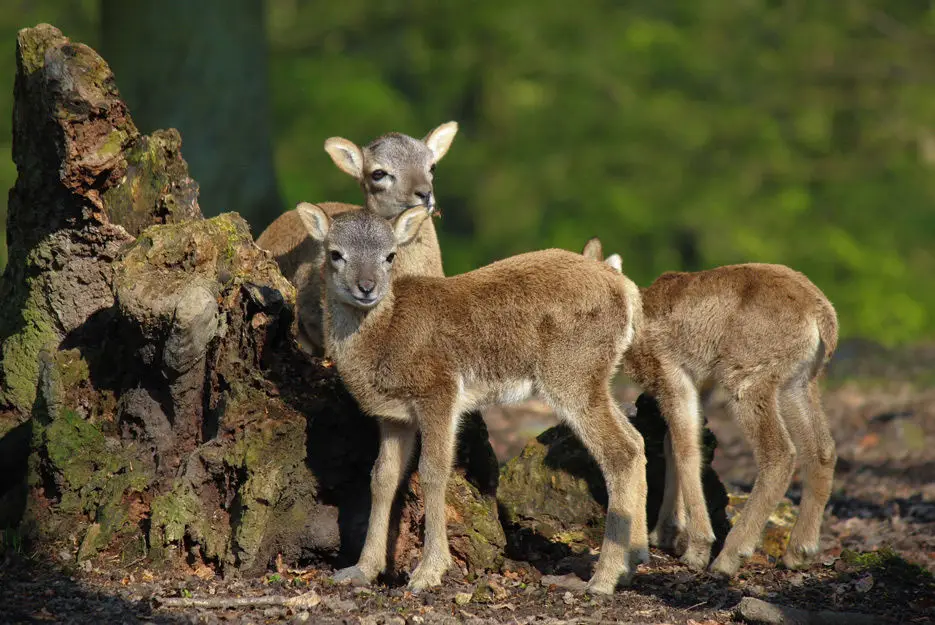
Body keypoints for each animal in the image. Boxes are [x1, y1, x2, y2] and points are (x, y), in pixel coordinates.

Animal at [304, 206, 648, 596]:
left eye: (390, 255)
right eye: (335, 254)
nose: (367, 287)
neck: (384, 338)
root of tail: (628, 290)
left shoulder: (438, 389)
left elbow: (433, 470)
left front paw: (428, 572)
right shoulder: (393, 416)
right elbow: (382, 477)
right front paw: (362, 569)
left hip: (572, 372)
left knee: (620, 451)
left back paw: (603, 578)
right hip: (594, 377)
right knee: (637, 439)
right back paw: (633, 563)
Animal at [584, 238, 840, 576]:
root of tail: (822, 315)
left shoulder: (674, 378)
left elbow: (686, 450)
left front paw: (696, 548)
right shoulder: (700, 385)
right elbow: (675, 444)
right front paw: (665, 533)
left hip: (747, 383)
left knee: (780, 455)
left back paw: (728, 557)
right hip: (797, 384)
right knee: (822, 450)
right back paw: (798, 552)